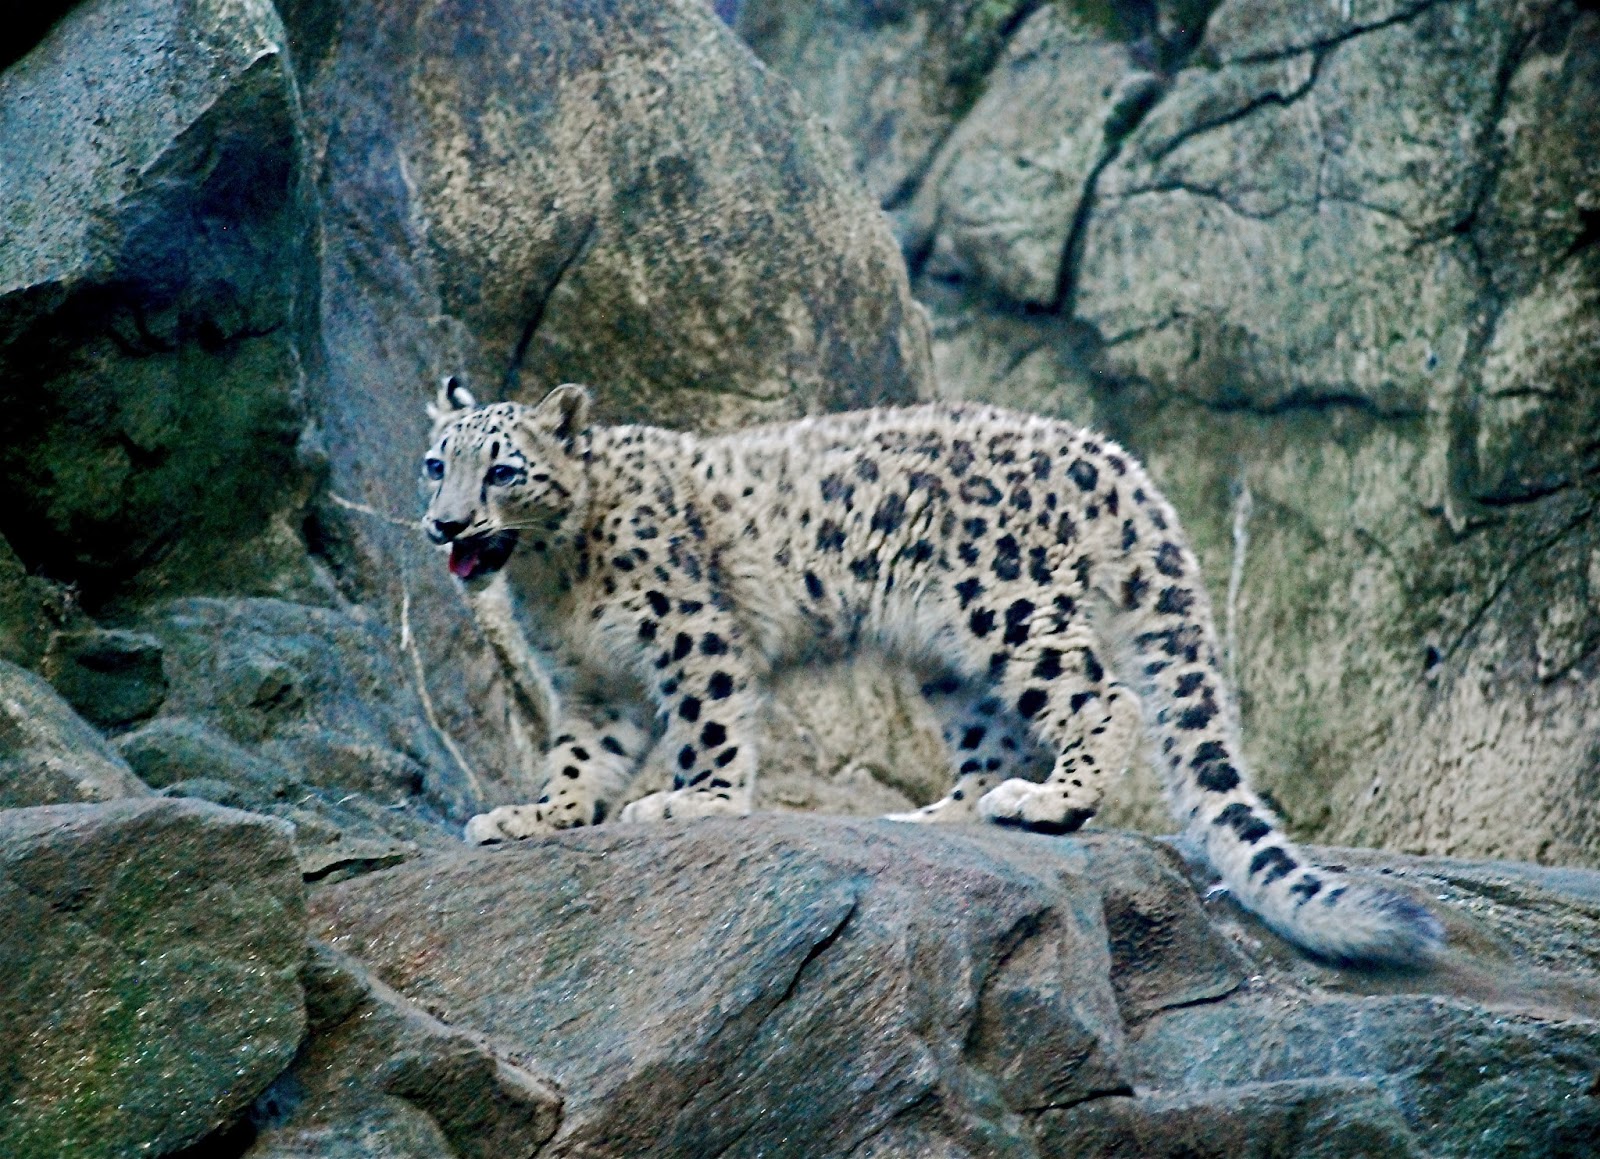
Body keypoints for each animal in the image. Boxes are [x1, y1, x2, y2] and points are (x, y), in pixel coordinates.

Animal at [420, 378, 1444, 967]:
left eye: (504, 468)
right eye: (437, 462)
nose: (445, 523)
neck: (553, 577)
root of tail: (1110, 453)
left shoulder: (690, 632)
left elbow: (708, 723)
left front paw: (688, 802)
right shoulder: (592, 685)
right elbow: (576, 759)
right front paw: (532, 816)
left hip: (1005, 604)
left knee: (1099, 694)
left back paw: (1052, 799)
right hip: (952, 659)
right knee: (997, 735)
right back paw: (937, 814)